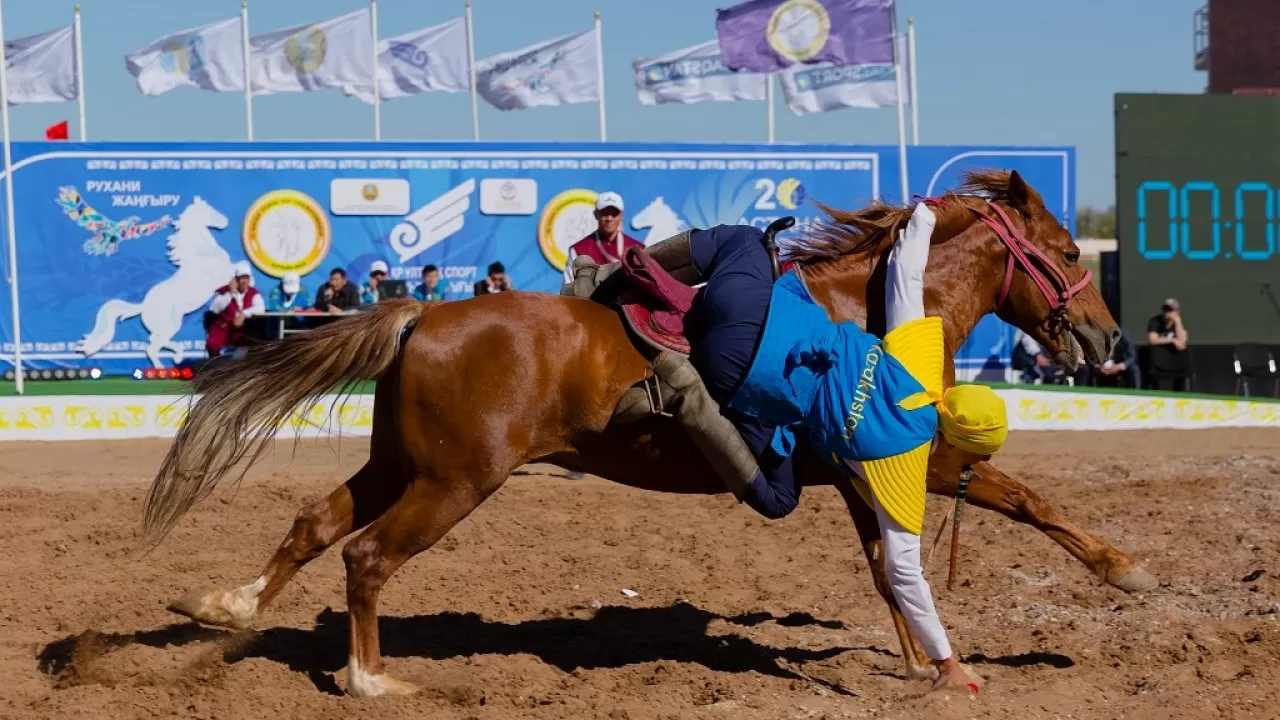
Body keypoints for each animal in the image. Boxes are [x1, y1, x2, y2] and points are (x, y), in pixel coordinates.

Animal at [147, 169, 1152, 696]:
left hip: (400, 465)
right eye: (1069, 252)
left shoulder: (864, 478)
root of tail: (421, 314)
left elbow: (886, 567)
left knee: (315, 525)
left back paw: (228, 607)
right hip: (455, 482)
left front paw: (921, 663)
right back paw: (371, 679)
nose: (1111, 341)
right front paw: (1124, 569)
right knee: (365, 557)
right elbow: (1022, 498)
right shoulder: (911, 456)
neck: (864, 312)